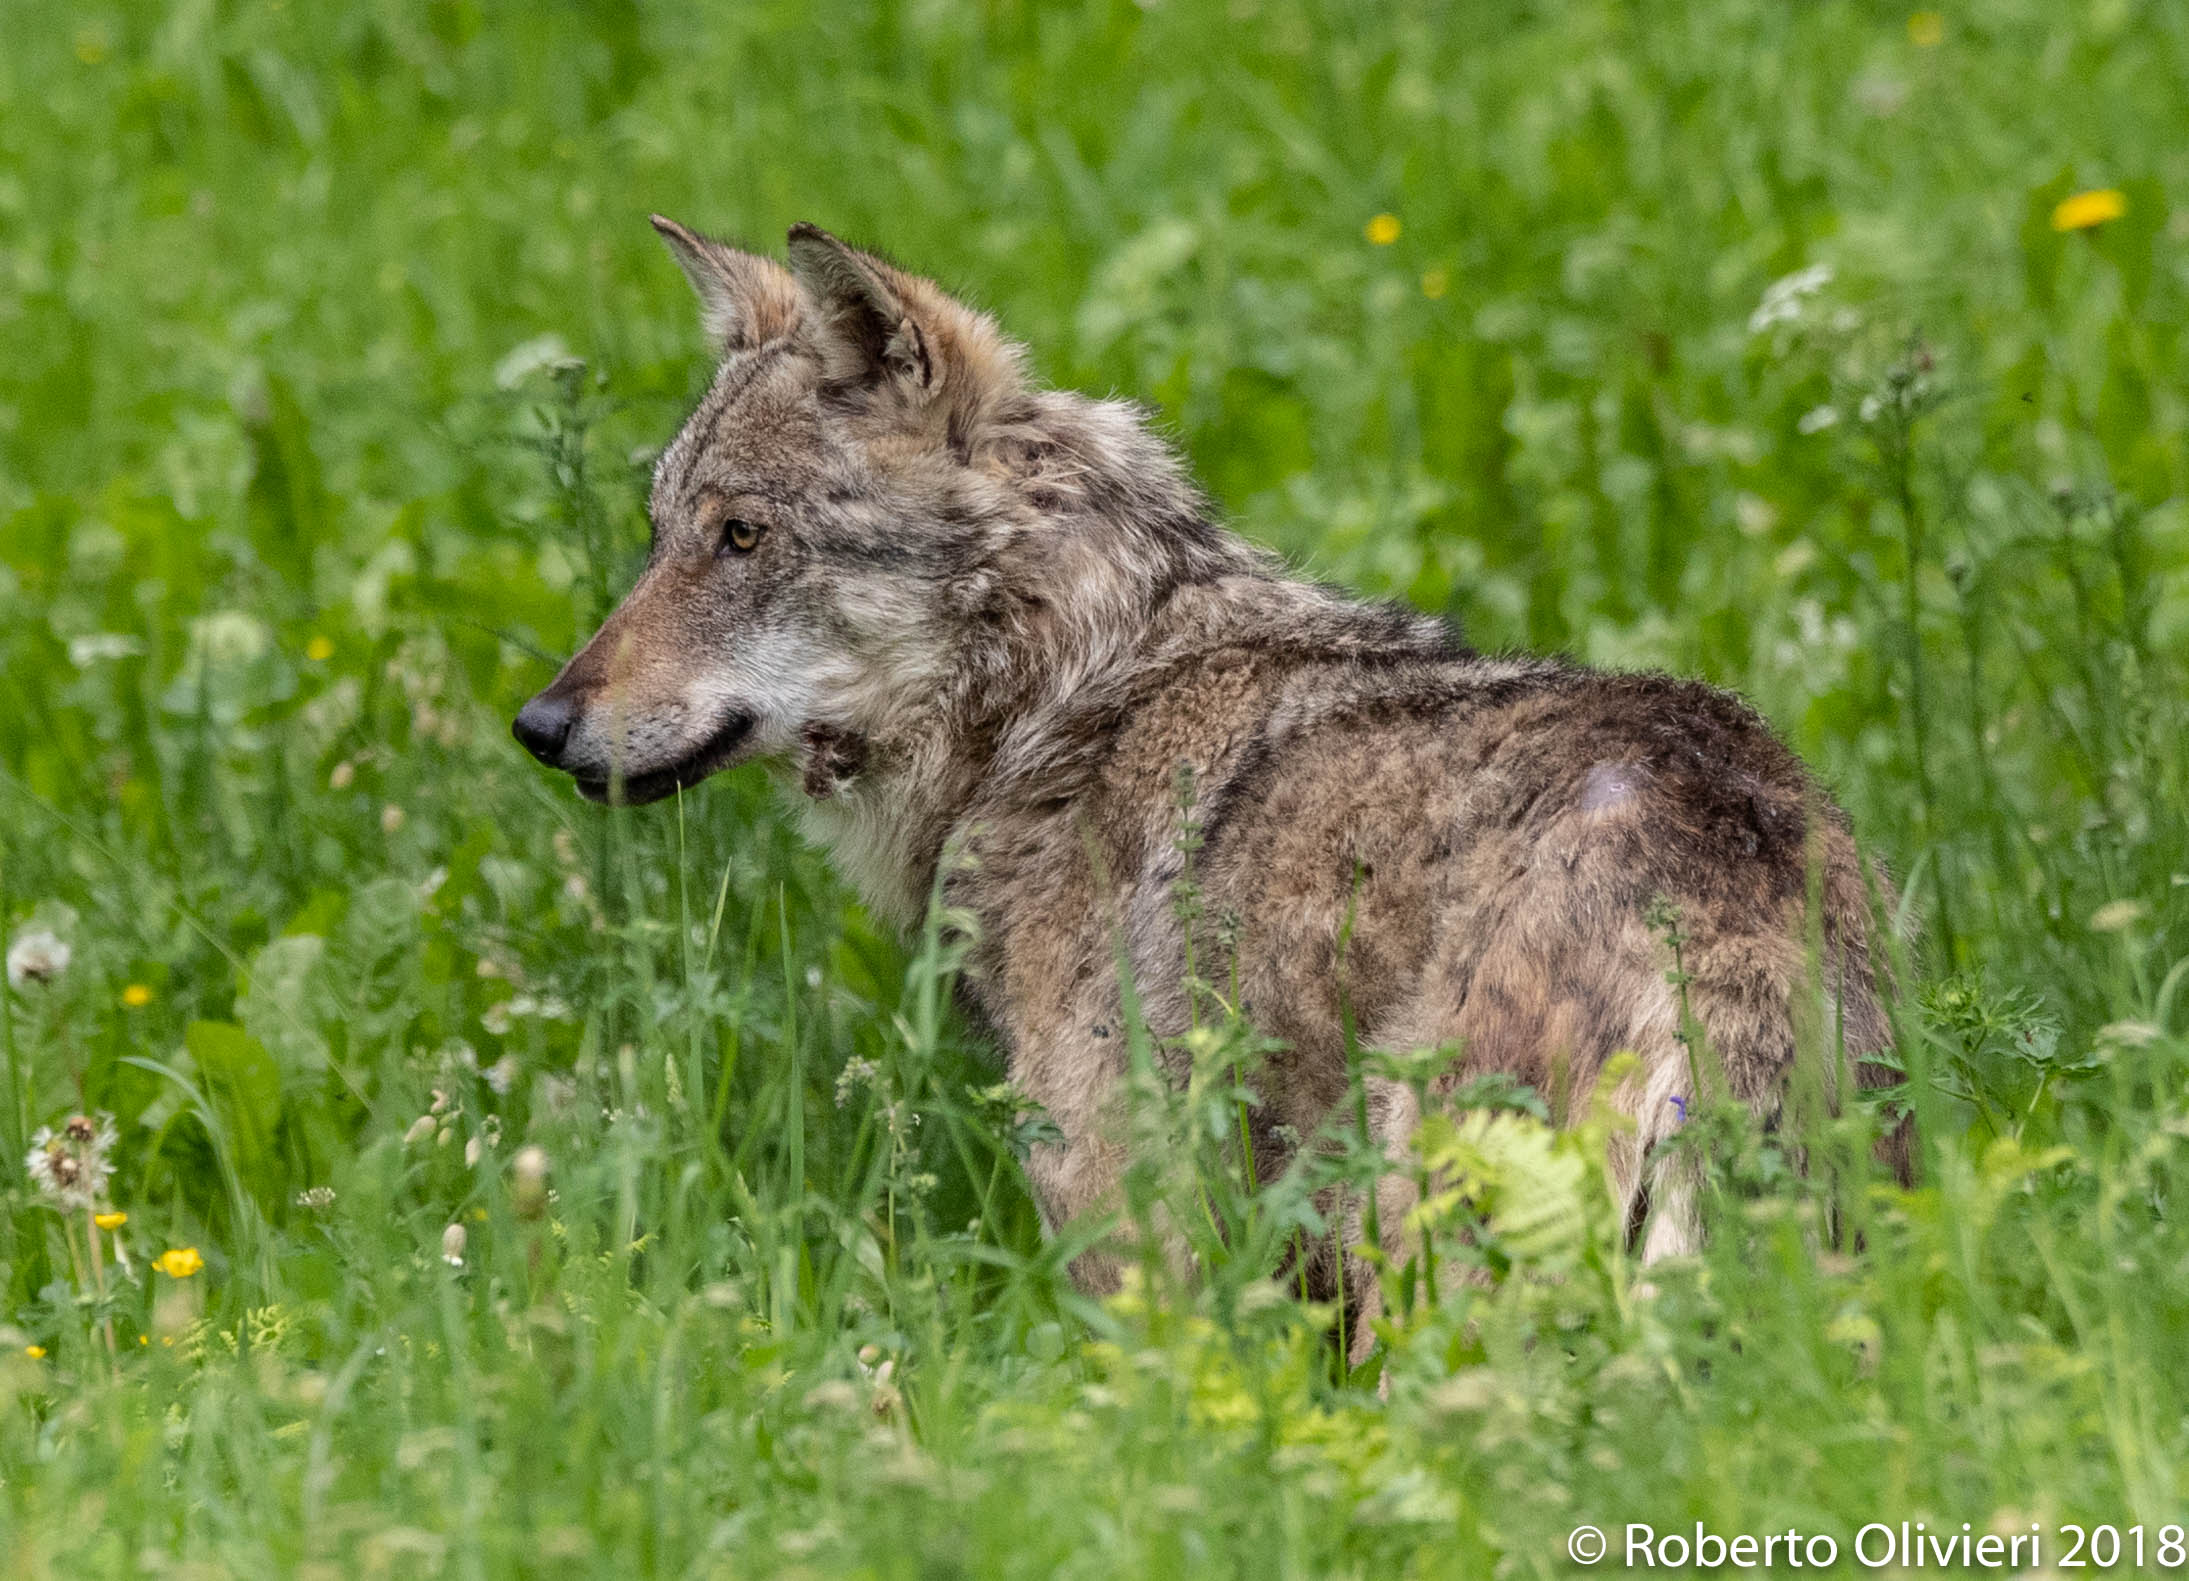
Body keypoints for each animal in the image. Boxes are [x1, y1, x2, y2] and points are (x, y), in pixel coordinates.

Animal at [513, 218, 1901, 1347]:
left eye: (741, 536)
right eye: (657, 535)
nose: (538, 724)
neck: (1063, 697)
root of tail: (1712, 856)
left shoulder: (1136, 1252)